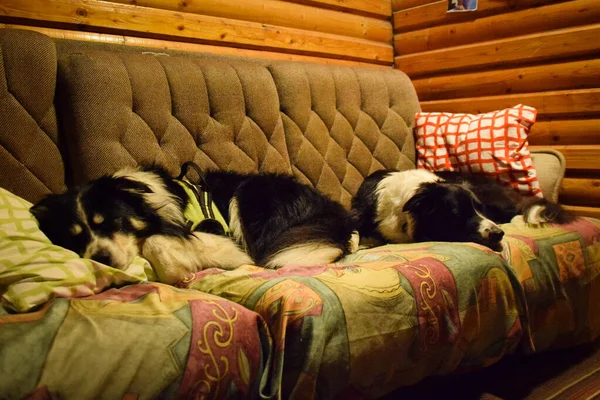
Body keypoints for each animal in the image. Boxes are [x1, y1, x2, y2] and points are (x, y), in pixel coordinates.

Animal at [30, 163, 358, 284]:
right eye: (75, 238)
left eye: (112, 222)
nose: (101, 258)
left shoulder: (225, 241)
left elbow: (155, 241)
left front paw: (175, 270)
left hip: (247, 194)